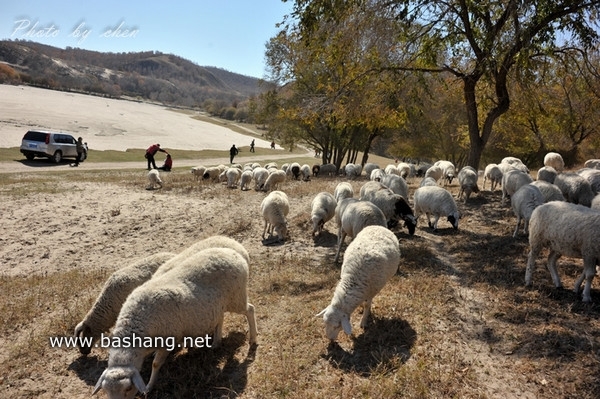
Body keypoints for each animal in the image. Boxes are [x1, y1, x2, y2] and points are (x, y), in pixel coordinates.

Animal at [92, 247, 256, 396]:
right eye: (106, 391)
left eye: (127, 389)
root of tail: (234, 252)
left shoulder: (167, 339)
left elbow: (156, 364)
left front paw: (149, 386)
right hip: (217, 305)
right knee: (220, 318)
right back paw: (216, 343)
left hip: (236, 297)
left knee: (250, 310)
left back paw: (253, 340)